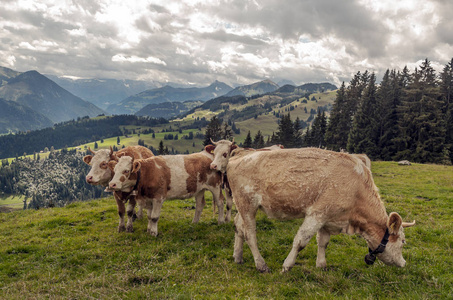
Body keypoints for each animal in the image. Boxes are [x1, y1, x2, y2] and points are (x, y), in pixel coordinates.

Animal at [207, 139, 414, 274]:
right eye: (403, 242)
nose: (404, 263)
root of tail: (239, 155)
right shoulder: (317, 214)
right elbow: (301, 241)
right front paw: (287, 266)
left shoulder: (329, 218)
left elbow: (323, 242)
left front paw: (321, 265)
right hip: (247, 204)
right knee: (250, 233)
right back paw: (261, 265)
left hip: (243, 206)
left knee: (238, 227)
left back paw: (237, 256)